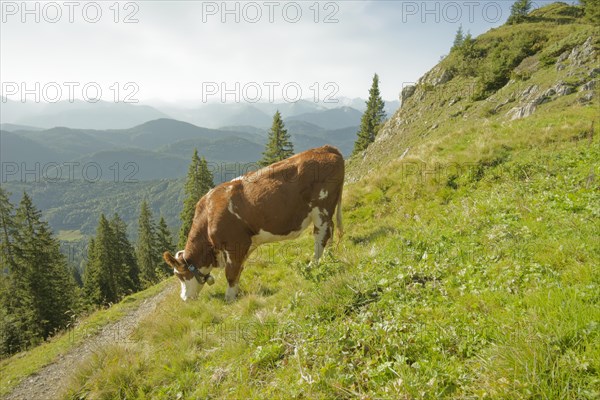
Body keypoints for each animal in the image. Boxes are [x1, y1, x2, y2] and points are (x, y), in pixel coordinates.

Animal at [164, 145, 344, 302]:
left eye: (180, 275)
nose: (184, 298)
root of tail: (326, 148)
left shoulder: (235, 243)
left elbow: (231, 273)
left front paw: (229, 298)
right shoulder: (244, 246)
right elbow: (239, 271)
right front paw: (235, 293)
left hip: (321, 208)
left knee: (321, 237)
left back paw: (313, 265)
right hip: (328, 209)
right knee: (330, 231)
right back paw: (329, 257)